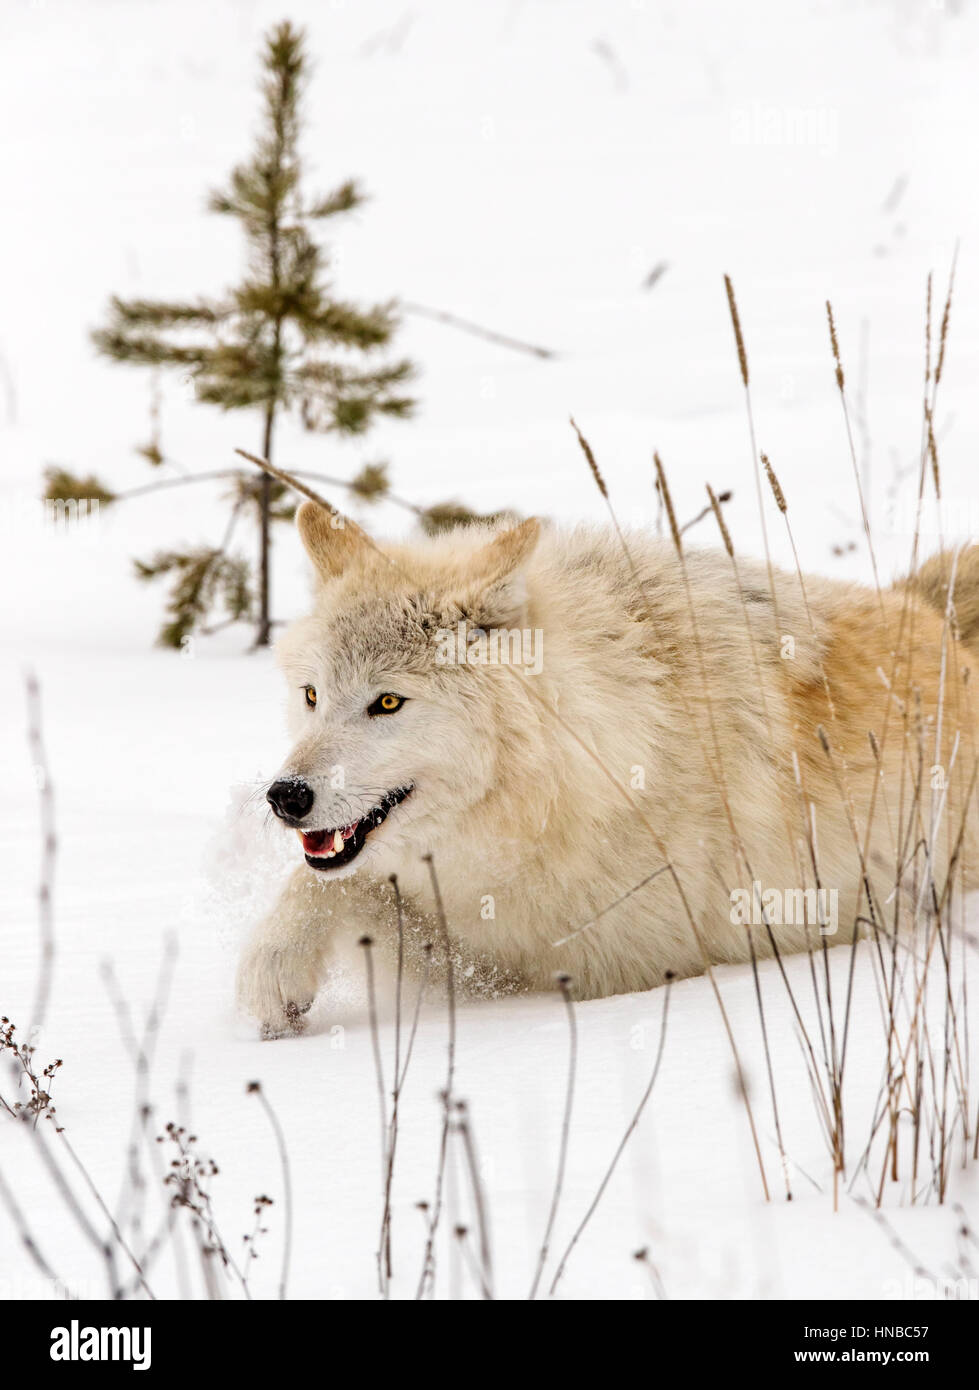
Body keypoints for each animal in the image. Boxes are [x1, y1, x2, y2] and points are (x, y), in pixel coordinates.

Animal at [237, 501, 979, 1036]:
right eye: (311, 696)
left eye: (387, 702)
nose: (285, 797)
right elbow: (335, 885)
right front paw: (274, 968)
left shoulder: (602, 967)